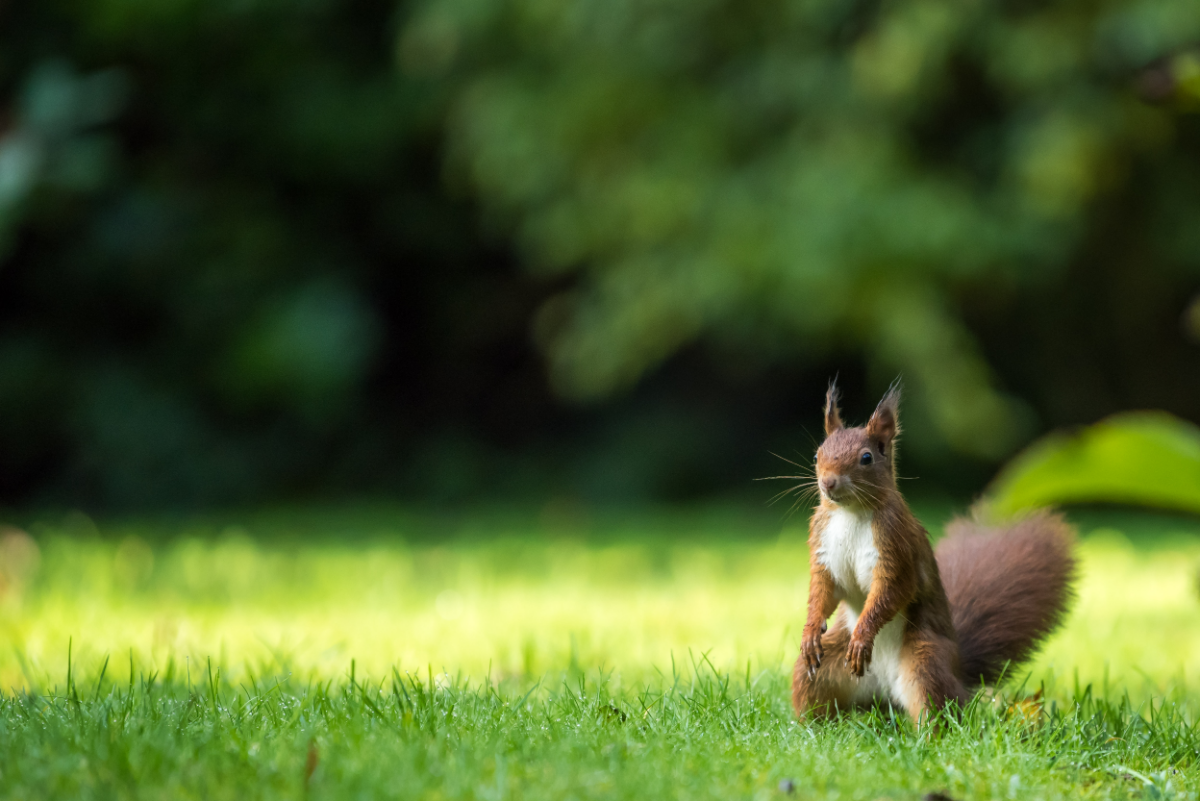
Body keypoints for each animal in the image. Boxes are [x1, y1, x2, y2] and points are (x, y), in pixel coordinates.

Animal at [792, 381, 1075, 724]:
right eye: (817, 454)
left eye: (866, 458)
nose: (828, 482)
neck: (851, 512)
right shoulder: (823, 545)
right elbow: (822, 590)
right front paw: (810, 631)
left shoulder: (896, 546)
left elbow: (892, 590)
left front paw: (863, 637)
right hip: (824, 668)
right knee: (811, 686)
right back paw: (811, 727)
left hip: (925, 661)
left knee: (939, 707)